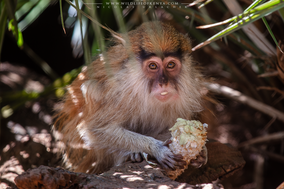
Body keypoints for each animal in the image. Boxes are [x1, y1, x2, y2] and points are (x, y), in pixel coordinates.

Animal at [54, 21, 207, 173]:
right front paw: (157, 148)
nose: (163, 83)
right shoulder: (118, 91)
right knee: (90, 88)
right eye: (153, 66)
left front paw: (200, 154)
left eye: (170, 65)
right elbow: (95, 130)